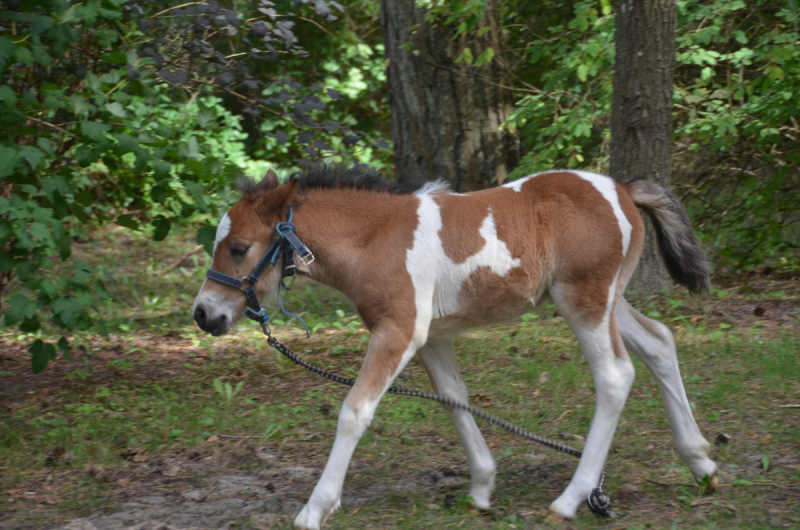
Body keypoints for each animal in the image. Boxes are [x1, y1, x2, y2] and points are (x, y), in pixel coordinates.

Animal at [194, 167, 720, 524]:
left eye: (239, 248)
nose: (204, 314)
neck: (374, 239)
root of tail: (623, 190)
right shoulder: (433, 336)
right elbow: (453, 399)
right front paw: (482, 487)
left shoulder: (399, 330)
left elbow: (355, 411)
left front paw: (315, 509)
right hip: (608, 299)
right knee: (659, 342)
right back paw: (700, 461)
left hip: (584, 300)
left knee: (615, 375)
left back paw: (571, 499)